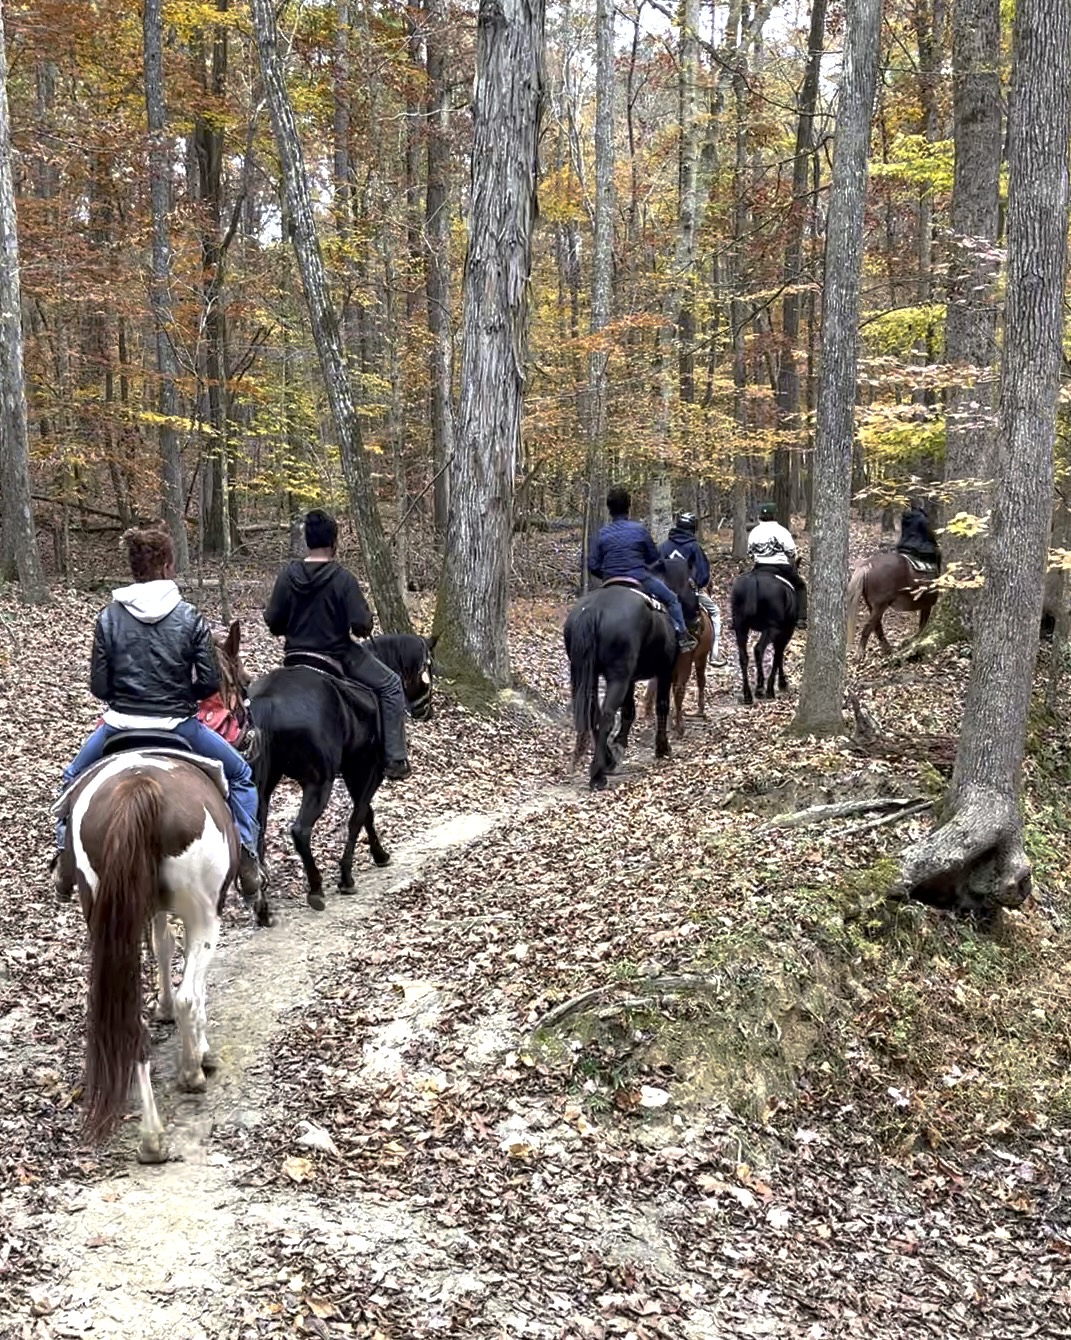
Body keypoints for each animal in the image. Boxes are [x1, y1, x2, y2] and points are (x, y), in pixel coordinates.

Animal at [53, 734, 237, 1163]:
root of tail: (137, 789)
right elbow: (192, 986)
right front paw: (202, 1053)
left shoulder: (146, 909)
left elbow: (161, 943)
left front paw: (163, 1008)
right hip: (204, 915)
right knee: (189, 995)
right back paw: (190, 1075)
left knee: (130, 1021)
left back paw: (151, 1138)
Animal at [219, 627, 436, 911]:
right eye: (430, 667)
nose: (426, 711)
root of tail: (269, 701)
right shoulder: (368, 770)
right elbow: (359, 817)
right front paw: (347, 876)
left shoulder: (354, 774)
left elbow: (367, 814)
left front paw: (379, 855)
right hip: (319, 782)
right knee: (300, 831)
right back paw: (315, 888)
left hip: (260, 785)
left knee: (256, 832)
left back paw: (262, 900)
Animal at [565, 557, 697, 787]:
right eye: (692, 585)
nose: (698, 616)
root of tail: (592, 611)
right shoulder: (664, 671)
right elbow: (662, 706)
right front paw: (662, 747)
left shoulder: (631, 679)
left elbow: (629, 711)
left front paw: (618, 746)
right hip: (618, 677)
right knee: (606, 715)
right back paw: (597, 774)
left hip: (588, 675)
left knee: (594, 713)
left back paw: (605, 760)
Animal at [729, 565, 793, 707]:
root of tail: (753, 580)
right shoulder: (785, 631)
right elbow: (778, 656)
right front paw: (781, 683)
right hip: (772, 628)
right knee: (760, 650)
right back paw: (764, 689)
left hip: (741, 626)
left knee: (744, 657)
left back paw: (748, 694)